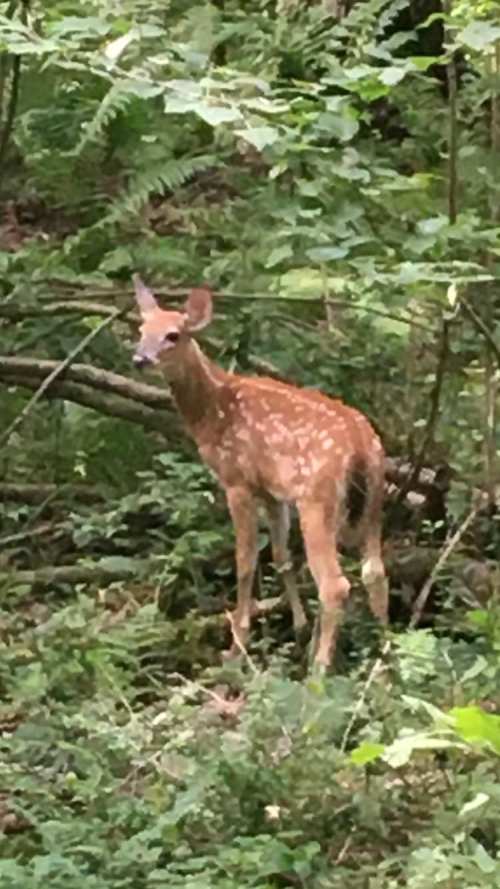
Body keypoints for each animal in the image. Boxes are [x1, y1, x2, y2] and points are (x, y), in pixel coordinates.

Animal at [131, 275, 388, 669]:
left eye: (173, 335)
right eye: (142, 329)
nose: (139, 359)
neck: (212, 412)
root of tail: (361, 443)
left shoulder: (236, 480)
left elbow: (246, 561)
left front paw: (237, 644)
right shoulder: (272, 490)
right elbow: (281, 557)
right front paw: (299, 629)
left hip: (317, 499)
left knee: (335, 584)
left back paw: (320, 668)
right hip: (375, 497)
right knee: (374, 571)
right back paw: (389, 655)